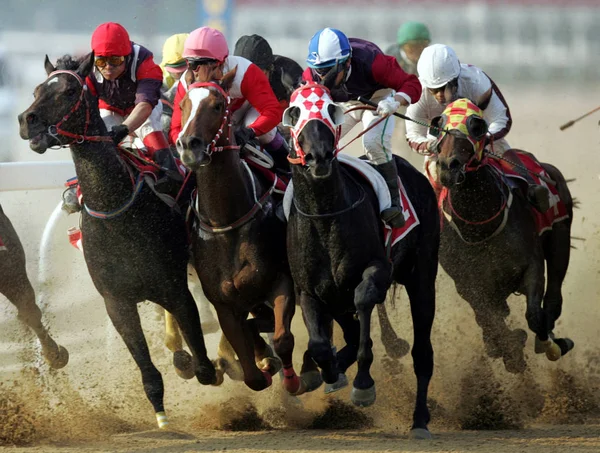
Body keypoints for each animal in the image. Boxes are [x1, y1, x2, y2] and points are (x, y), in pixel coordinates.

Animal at [17, 53, 218, 428]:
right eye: (37, 89)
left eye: (69, 91)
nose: (27, 121)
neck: (116, 210)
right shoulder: (117, 302)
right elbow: (149, 373)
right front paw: (161, 417)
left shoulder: (175, 290)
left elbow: (204, 362)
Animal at [175, 67, 296, 392]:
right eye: (183, 106)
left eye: (218, 105)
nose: (188, 145)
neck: (226, 223)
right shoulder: (224, 305)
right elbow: (253, 378)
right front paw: (260, 364)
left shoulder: (281, 281)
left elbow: (282, 337)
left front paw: (291, 378)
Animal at [284, 83, 438, 436]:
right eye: (295, 112)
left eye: (331, 109)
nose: (319, 157)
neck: (325, 216)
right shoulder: (310, 290)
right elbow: (320, 345)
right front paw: (326, 372)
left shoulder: (377, 271)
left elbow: (365, 301)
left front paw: (363, 384)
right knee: (349, 333)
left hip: (422, 276)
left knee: (422, 352)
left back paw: (420, 419)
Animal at [434, 97, 576, 372]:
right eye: (439, 124)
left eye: (476, 125)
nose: (448, 167)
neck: (481, 227)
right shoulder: (469, 286)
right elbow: (491, 321)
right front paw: (510, 351)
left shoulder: (531, 265)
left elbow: (533, 316)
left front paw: (548, 344)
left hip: (560, 236)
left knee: (554, 295)